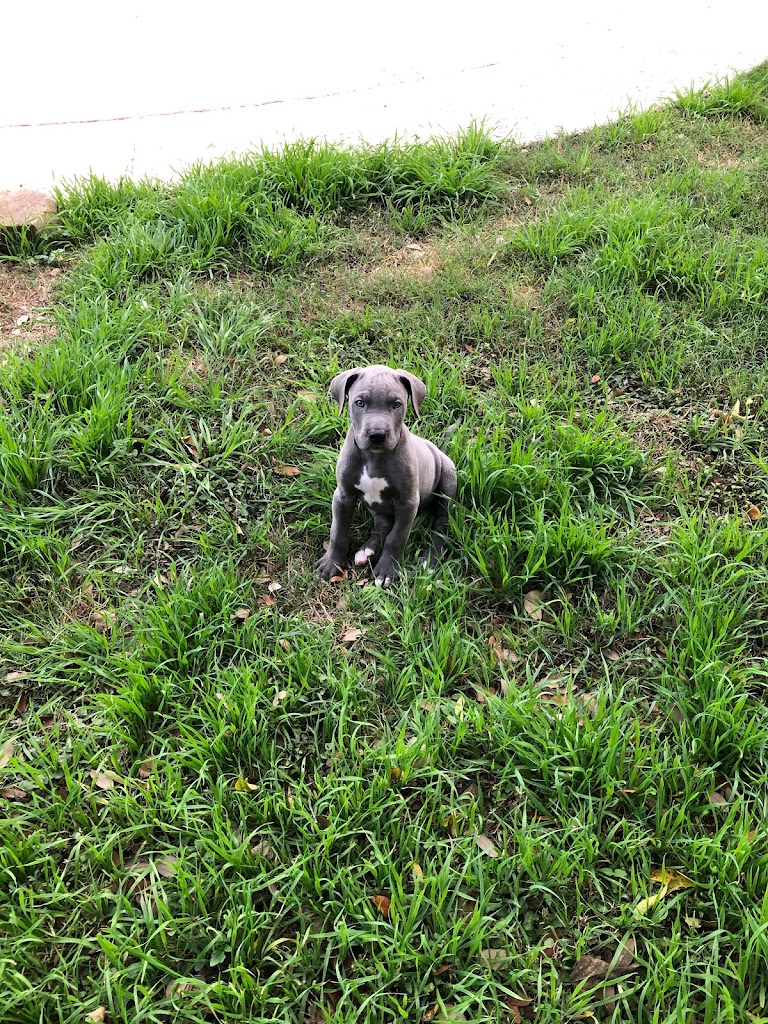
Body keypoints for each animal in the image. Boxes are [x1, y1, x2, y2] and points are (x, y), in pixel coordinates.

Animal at [314, 365, 457, 587]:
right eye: (360, 403)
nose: (377, 435)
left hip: (448, 481)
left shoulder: (408, 504)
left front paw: (387, 570)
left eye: (396, 404)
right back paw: (366, 551)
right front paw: (331, 563)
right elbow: (338, 532)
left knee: (441, 523)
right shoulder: (343, 496)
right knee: (383, 525)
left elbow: (396, 538)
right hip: (376, 507)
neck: (375, 457)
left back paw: (430, 560)